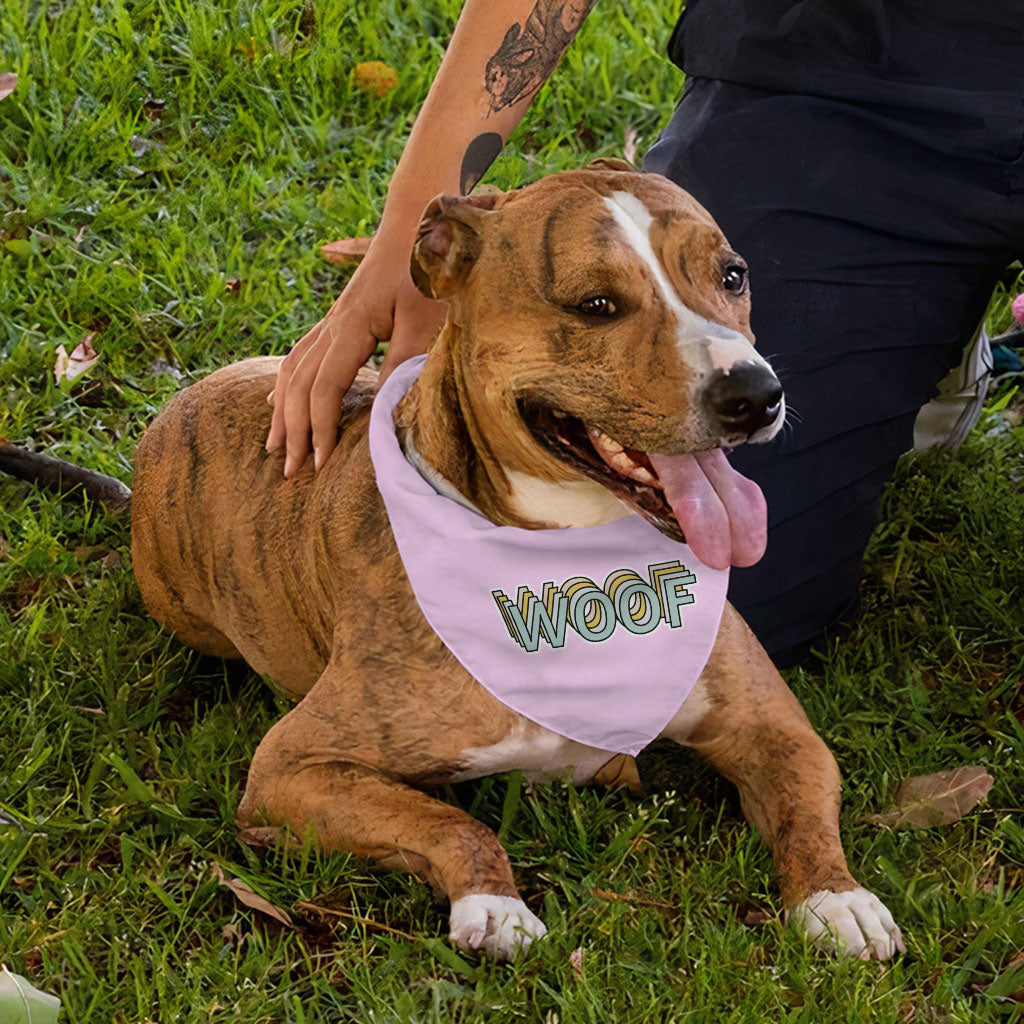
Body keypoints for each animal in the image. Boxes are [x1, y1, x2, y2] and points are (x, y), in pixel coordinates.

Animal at [121, 159, 905, 958]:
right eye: (596, 305)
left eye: (733, 275)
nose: (756, 393)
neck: (573, 563)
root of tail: (184, 399)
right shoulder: (293, 766)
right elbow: (450, 821)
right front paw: (493, 904)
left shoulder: (774, 728)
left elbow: (806, 806)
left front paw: (837, 897)